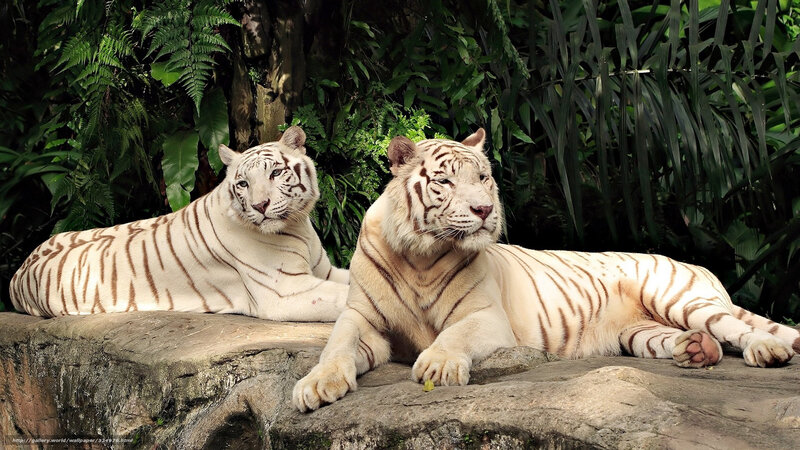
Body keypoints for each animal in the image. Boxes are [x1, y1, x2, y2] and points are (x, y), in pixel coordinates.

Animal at [10, 126, 350, 322]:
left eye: (276, 173)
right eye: (242, 183)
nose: (259, 206)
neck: (297, 224)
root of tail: (18, 272)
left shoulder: (323, 271)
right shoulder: (286, 290)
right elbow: (346, 296)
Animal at [292, 128, 800, 412]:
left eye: (483, 178)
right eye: (445, 182)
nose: (483, 210)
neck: (419, 254)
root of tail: (698, 266)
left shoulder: (484, 317)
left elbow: (452, 336)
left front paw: (438, 364)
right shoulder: (362, 318)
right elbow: (335, 346)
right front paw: (315, 387)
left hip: (679, 297)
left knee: (738, 326)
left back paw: (767, 351)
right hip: (638, 332)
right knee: (688, 339)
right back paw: (697, 351)